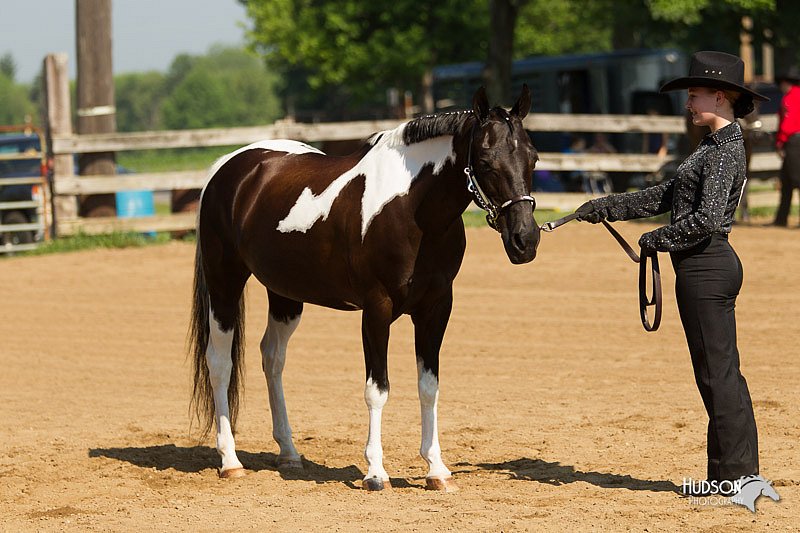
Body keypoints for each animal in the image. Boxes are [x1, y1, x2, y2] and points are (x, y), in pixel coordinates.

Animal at [188, 86, 540, 490]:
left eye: (533, 157)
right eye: (484, 159)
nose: (525, 240)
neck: (411, 209)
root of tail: (228, 165)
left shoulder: (436, 308)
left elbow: (428, 386)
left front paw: (436, 469)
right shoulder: (376, 309)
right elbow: (378, 389)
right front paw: (375, 472)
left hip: (285, 295)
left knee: (272, 358)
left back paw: (289, 454)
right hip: (224, 283)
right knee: (220, 362)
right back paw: (230, 460)